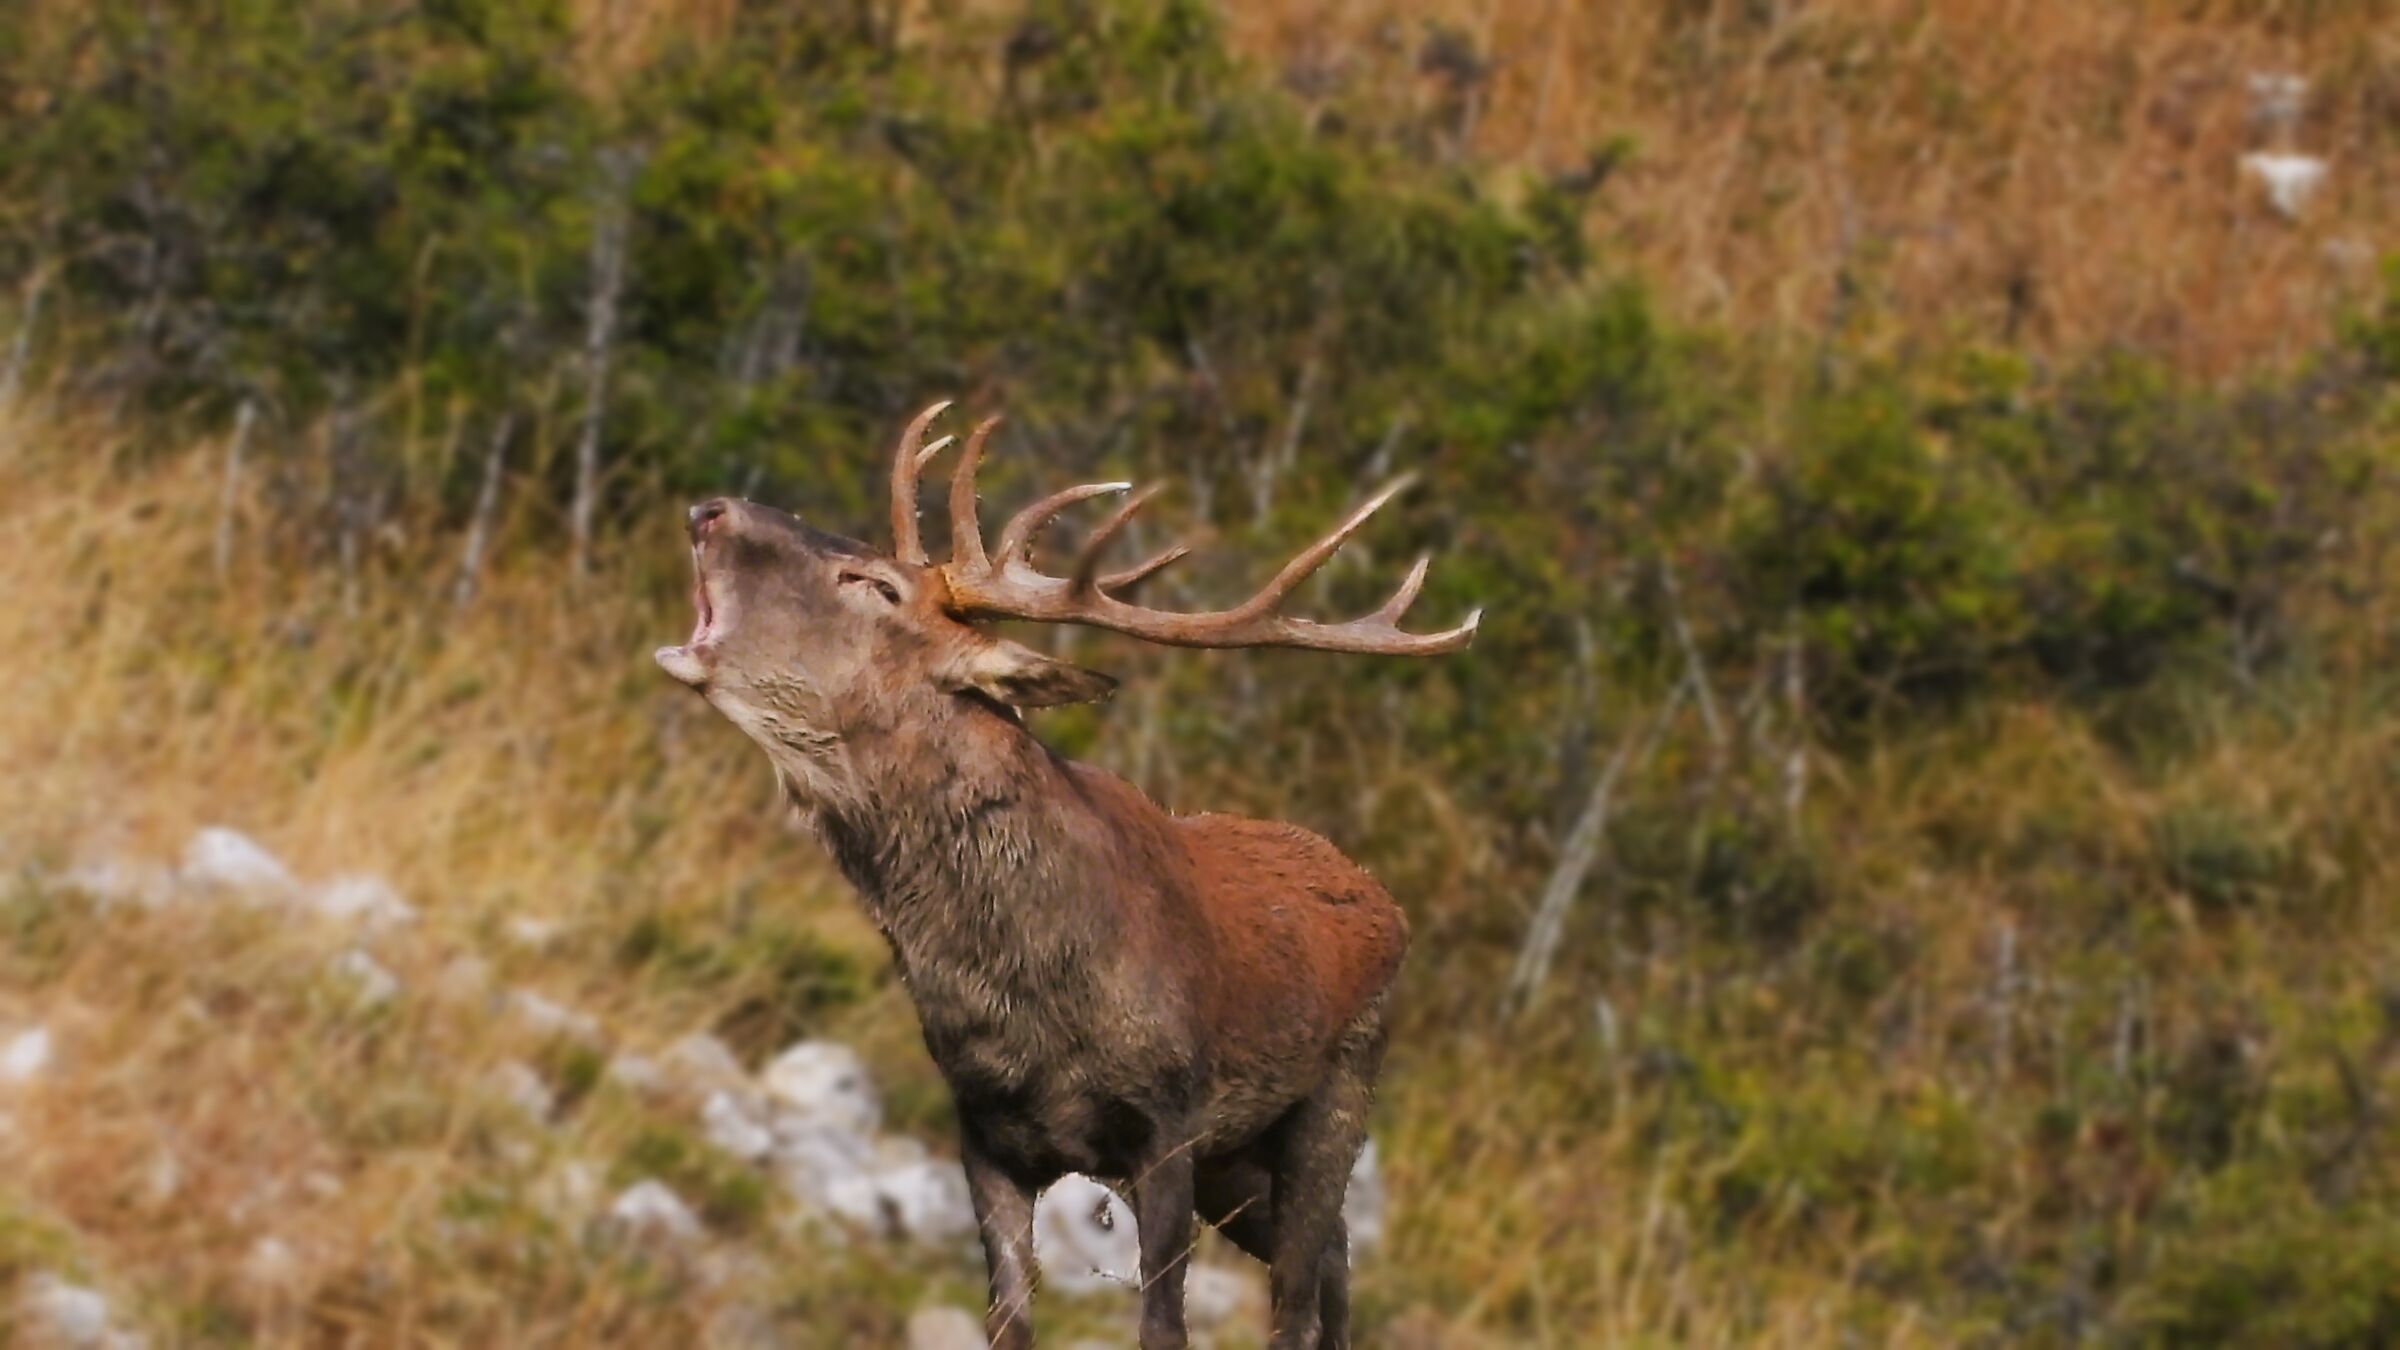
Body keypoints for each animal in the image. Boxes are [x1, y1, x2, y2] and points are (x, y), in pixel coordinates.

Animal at [654, 402, 1477, 1349]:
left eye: (875, 584)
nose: (710, 509)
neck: (1031, 993)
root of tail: (1384, 901)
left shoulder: (1169, 1123)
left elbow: (1163, 1326)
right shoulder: (985, 1133)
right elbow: (1008, 1322)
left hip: (1336, 1097)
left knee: (1303, 1298)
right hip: (1240, 1164)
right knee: (1336, 1265)